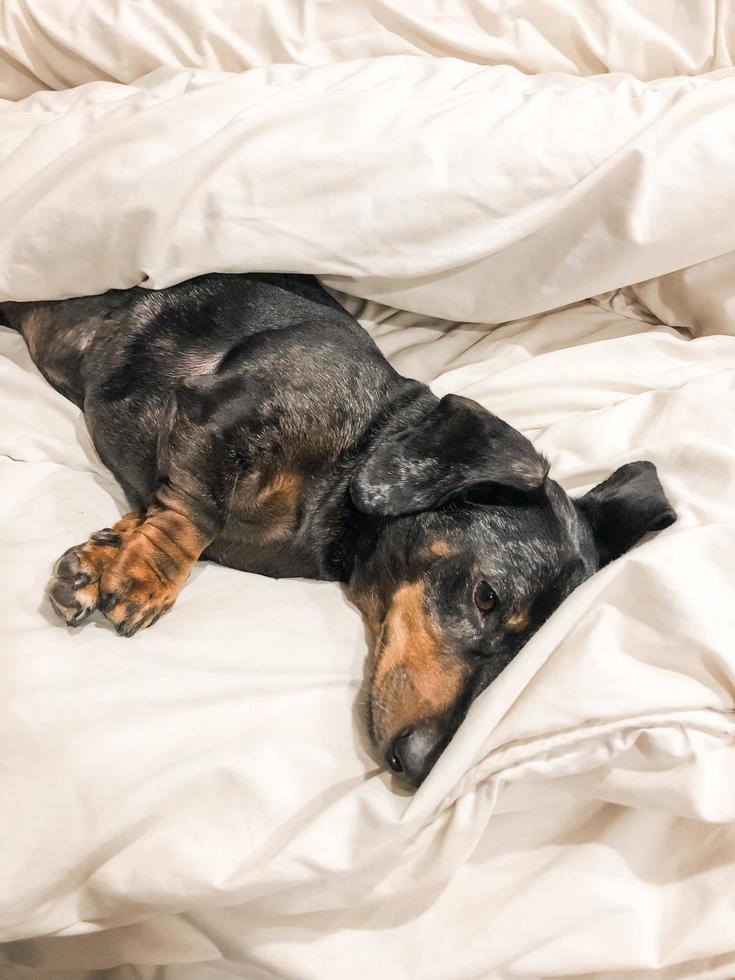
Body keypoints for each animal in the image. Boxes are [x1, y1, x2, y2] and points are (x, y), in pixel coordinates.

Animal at [1, 276, 680, 788]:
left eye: (526, 657)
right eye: (486, 598)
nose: (421, 767)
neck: (353, 460)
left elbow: (162, 500)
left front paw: (106, 558)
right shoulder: (218, 408)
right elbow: (198, 512)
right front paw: (146, 573)